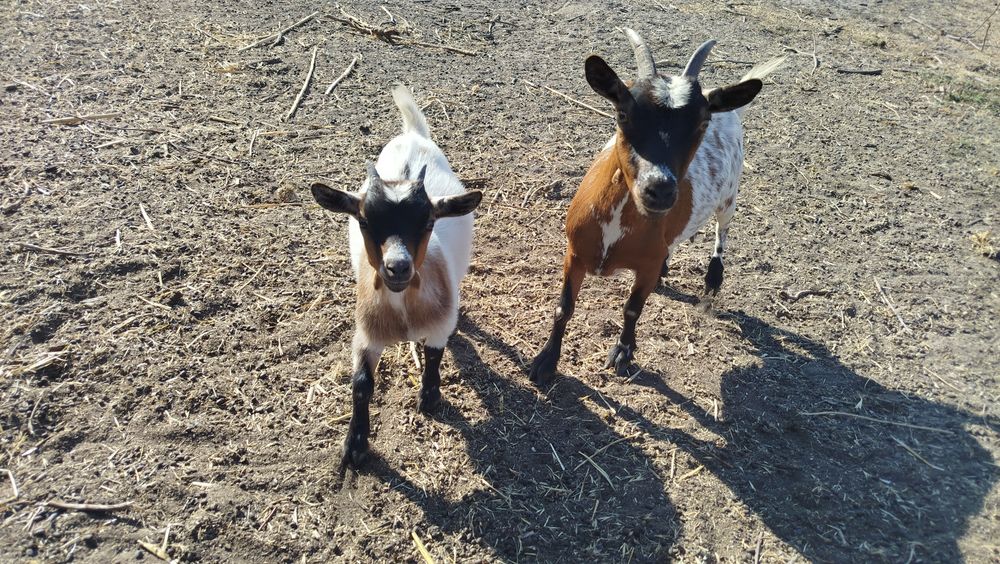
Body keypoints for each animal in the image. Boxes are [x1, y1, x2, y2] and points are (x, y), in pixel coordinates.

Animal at [310, 85, 483, 468]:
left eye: (429, 221)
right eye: (363, 220)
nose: (398, 266)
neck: (404, 310)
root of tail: (413, 135)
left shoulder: (438, 326)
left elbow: (434, 355)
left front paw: (429, 398)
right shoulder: (366, 335)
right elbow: (361, 383)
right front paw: (355, 446)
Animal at [529, 30, 783, 383]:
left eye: (702, 123)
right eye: (622, 114)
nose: (659, 190)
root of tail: (728, 108)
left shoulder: (644, 267)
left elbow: (632, 309)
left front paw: (622, 353)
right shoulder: (574, 253)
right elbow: (563, 307)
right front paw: (545, 362)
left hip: (730, 194)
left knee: (723, 230)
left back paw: (713, 278)